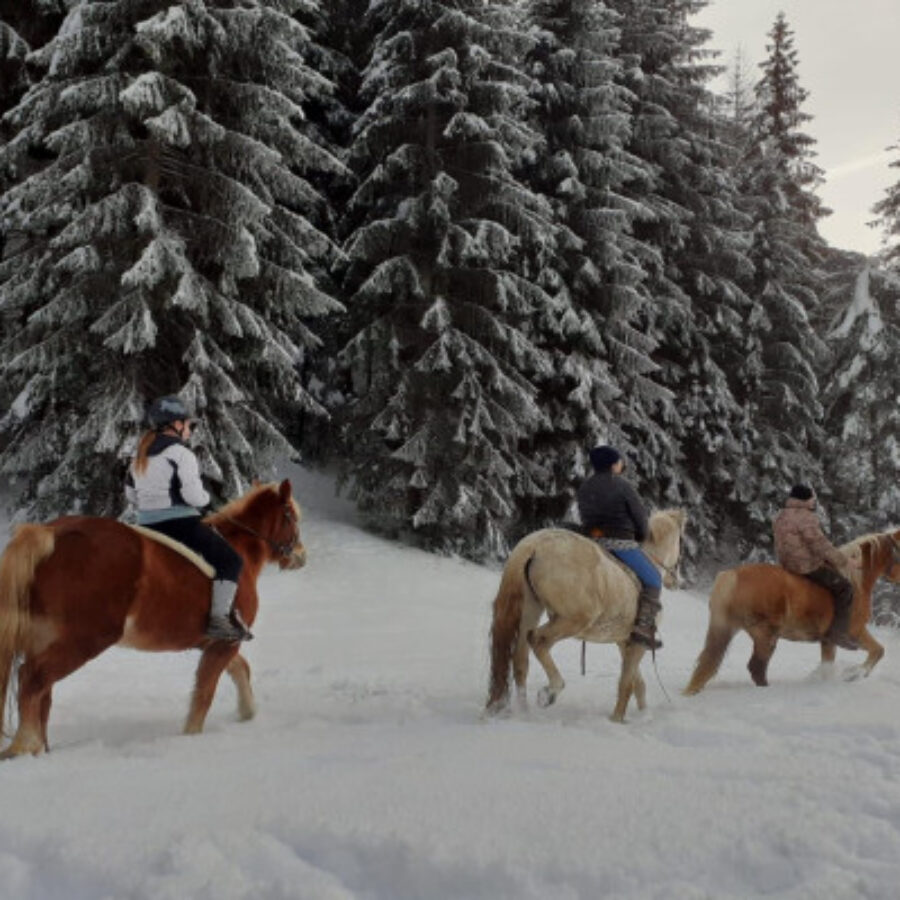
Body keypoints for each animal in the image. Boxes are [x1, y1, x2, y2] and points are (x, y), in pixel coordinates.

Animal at [0, 482, 306, 756]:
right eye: (291, 515)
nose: (301, 556)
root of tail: (51, 533)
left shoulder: (214, 642)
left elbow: (240, 669)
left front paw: (248, 713)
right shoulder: (225, 642)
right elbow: (204, 693)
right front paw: (192, 735)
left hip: (43, 638)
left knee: (42, 693)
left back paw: (40, 749)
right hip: (84, 639)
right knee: (32, 678)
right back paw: (23, 746)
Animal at [488, 512, 684, 724]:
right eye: (680, 540)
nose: (677, 580)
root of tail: (534, 546)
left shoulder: (624, 642)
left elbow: (637, 683)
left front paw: (643, 715)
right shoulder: (637, 644)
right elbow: (626, 683)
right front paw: (617, 719)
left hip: (531, 610)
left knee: (520, 661)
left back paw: (524, 712)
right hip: (573, 621)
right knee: (538, 640)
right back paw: (550, 692)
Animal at [684, 528, 900, 696]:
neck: (857, 581)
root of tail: (733, 575)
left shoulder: (828, 640)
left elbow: (829, 663)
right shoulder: (855, 632)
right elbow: (878, 650)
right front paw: (854, 674)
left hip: (728, 628)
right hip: (766, 636)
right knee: (756, 668)